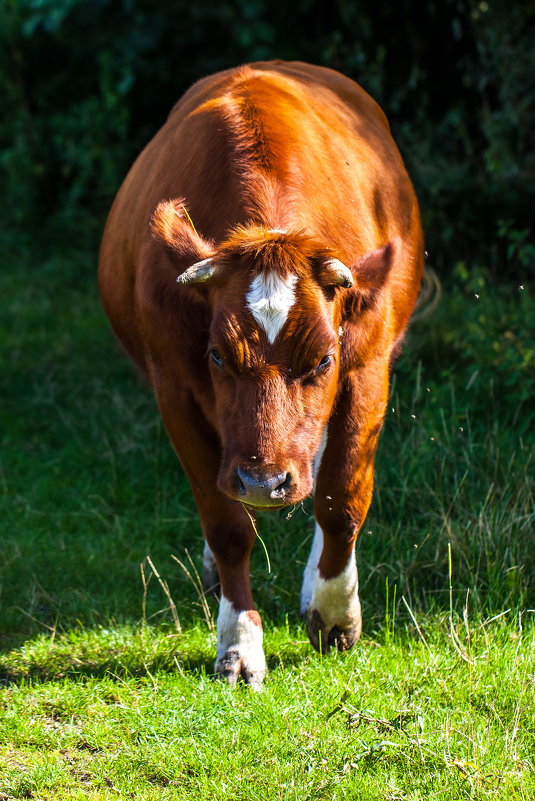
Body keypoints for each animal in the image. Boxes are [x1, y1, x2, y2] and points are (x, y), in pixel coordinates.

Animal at [99, 61, 422, 688]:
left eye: (323, 359)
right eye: (218, 356)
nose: (263, 483)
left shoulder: (368, 369)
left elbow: (341, 498)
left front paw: (334, 611)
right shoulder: (176, 389)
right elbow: (226, 523)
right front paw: (239, 644)